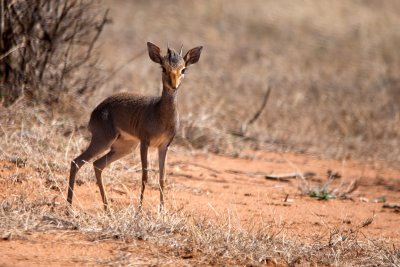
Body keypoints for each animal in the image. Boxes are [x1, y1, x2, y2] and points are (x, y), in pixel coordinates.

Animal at [67, 42, 203, 211]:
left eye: (183, 69)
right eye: (163, 68)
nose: (174, 85)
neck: (160, 114)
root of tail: (96, 111)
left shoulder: (164, 146)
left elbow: (162, 178)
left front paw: (162, 211)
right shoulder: (145, 143)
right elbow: (145, 176)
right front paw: (139, 210)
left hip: (124, 147)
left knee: (97, 165)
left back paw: (107, 209)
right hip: (103, 141)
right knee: (76, 162)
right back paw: (69, 207)